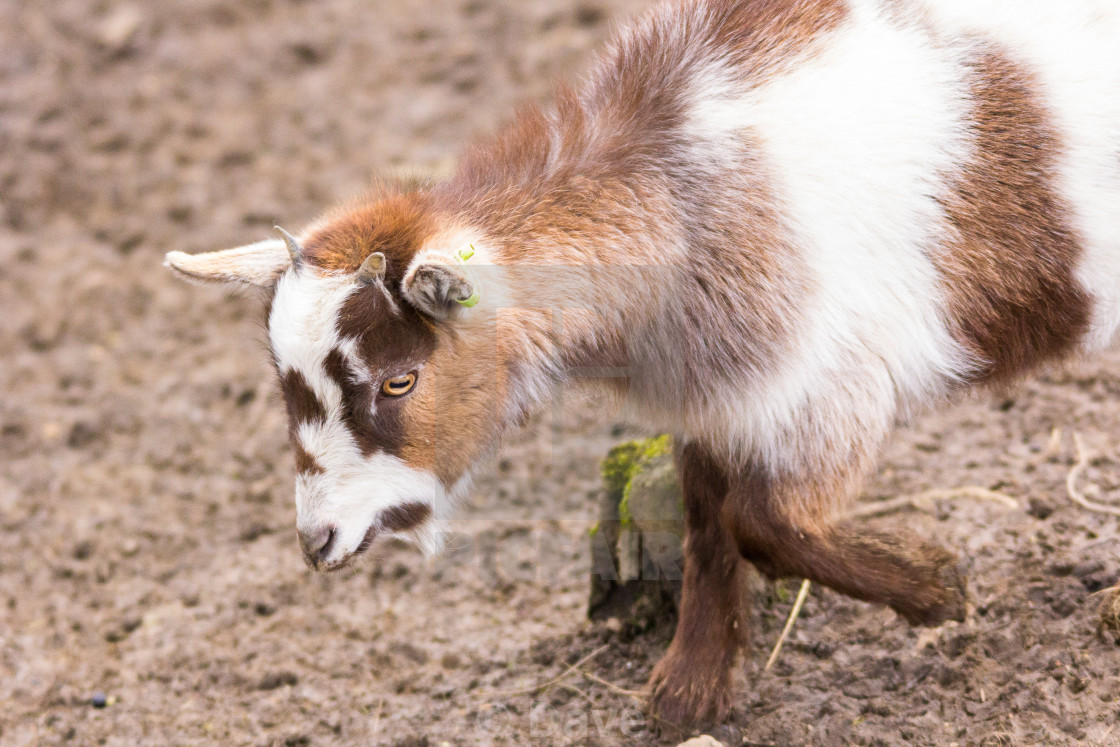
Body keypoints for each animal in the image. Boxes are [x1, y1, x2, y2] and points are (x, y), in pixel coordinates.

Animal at [164, 0, 1120, 727]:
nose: (317, 540)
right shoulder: (714, 396)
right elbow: (707, 518)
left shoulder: (828, 385)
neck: (692, 192)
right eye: (284, 388)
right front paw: (691, 688)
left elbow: (764, 521)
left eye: (400, 378)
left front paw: (939, 587)